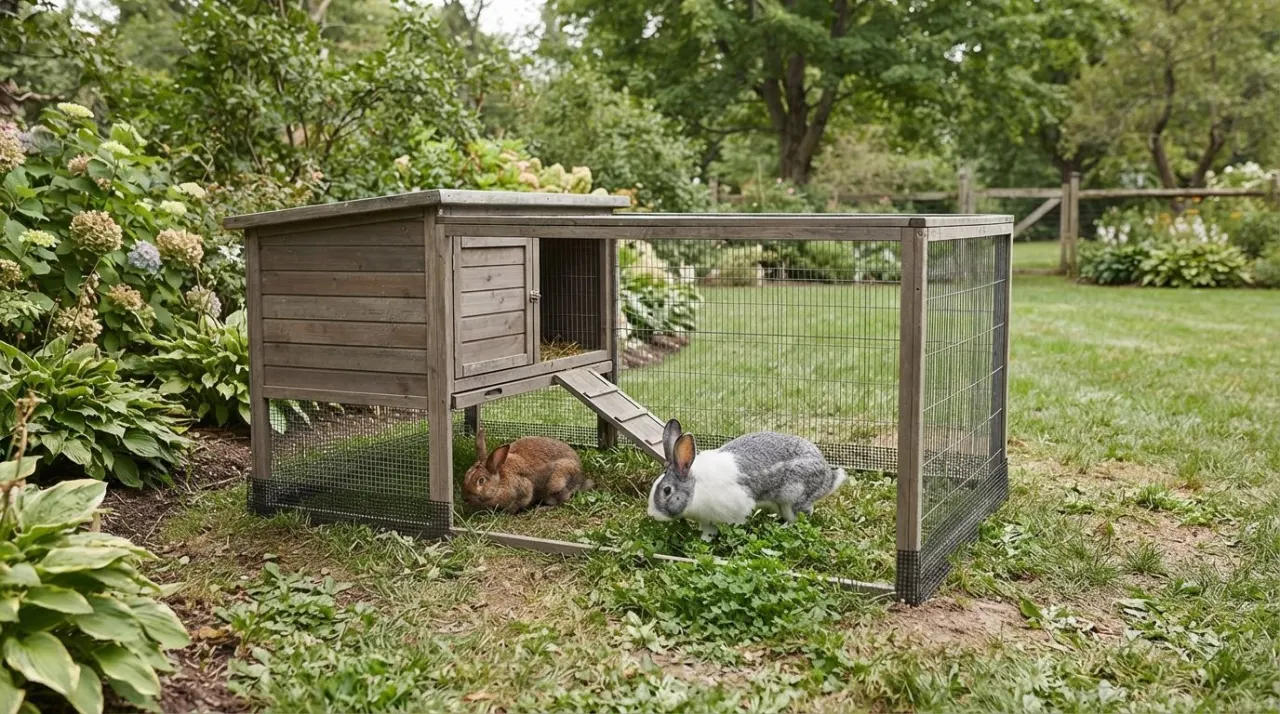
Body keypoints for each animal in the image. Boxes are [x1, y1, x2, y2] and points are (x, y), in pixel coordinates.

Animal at [462, 424, 591, 513]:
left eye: (481, 480)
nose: (466, 498)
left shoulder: (524, 489)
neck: (499, 482)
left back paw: (541, 509)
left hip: (556, 483)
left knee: (561, 501)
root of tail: (581, 478)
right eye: (466, 475)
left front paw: (508, 511)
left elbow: (520, 501)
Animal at [647, 419, 846, 541]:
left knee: (801, 515)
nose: (651, 514)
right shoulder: (706, 520)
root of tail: (828, 478)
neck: (696, 488)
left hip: (793, 497)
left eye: (667, 490)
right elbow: (708, 532)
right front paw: (704, 541)